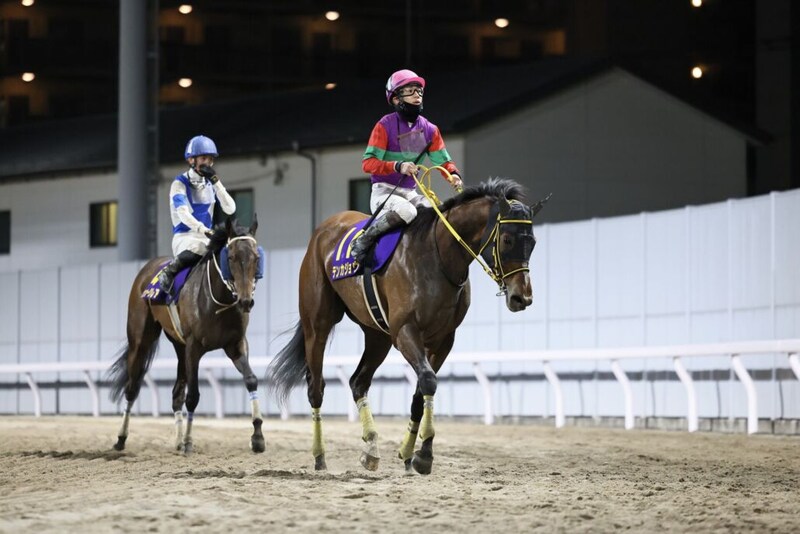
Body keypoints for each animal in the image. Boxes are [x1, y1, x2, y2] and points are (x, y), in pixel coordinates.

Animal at [107, 216, 264, 455]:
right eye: (231, 257)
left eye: (256, 258)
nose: (246, 301)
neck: (218, 300)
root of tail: (147, 269)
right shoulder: (194, 346)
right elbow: (193, 396)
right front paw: (189, 441)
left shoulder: (235, 344)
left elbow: (251, 380)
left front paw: (257, 436)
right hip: (141, 340)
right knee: (132, 388)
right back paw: (121, 438)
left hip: (179, 346)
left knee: (176, 393)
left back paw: (178, 440)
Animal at [268, 178, 549, 474]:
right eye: (507, 239)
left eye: (533, 242)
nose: (522, 297)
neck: (438, 256)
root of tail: (322, 230)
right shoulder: (405, 330)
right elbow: (427, 380)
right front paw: (423, 455)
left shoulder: (443, 339)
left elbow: (421, 391)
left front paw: (409, 453)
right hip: (318, 323)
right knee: (316, 386)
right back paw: (320, 455)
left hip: (377, 336)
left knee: (358, 381)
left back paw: (371, 449)